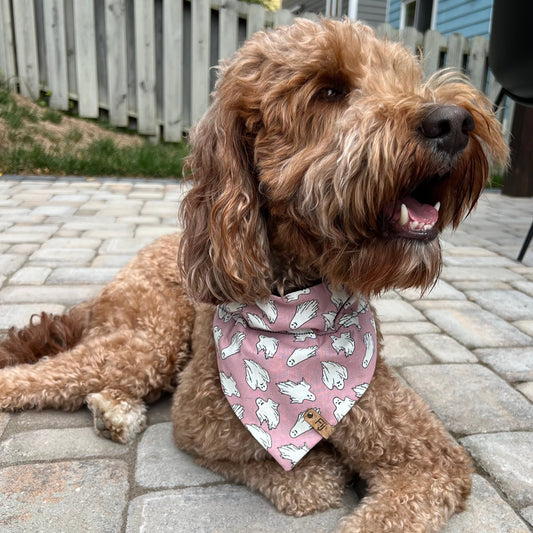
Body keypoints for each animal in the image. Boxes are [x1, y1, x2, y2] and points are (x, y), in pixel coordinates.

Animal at [0, 18, 508, 528]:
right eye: (329, 90)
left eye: (406, 76)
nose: (454, 122)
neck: (299, 308)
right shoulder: (201, 425)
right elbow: (310, 480)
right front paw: (319, 468)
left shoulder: (429, 456)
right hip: (151, 339)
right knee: (54, 371)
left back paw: (114, 410)